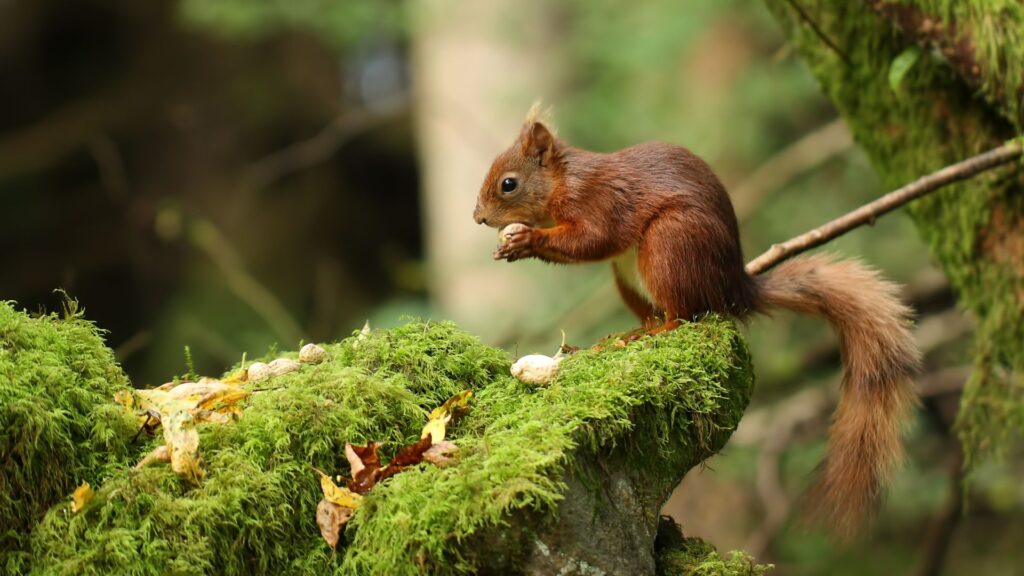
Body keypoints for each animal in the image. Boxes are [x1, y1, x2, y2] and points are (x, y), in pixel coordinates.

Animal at [472, 108, 920, 538]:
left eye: (509, 184)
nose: (478, 218)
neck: (564, 181)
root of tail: (732, 289)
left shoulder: (599, 202)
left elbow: (593, 239)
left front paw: (526, 240)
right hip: (629, 276)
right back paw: (631, 332)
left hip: (670, 244)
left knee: (684, 315)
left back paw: (648, 335)